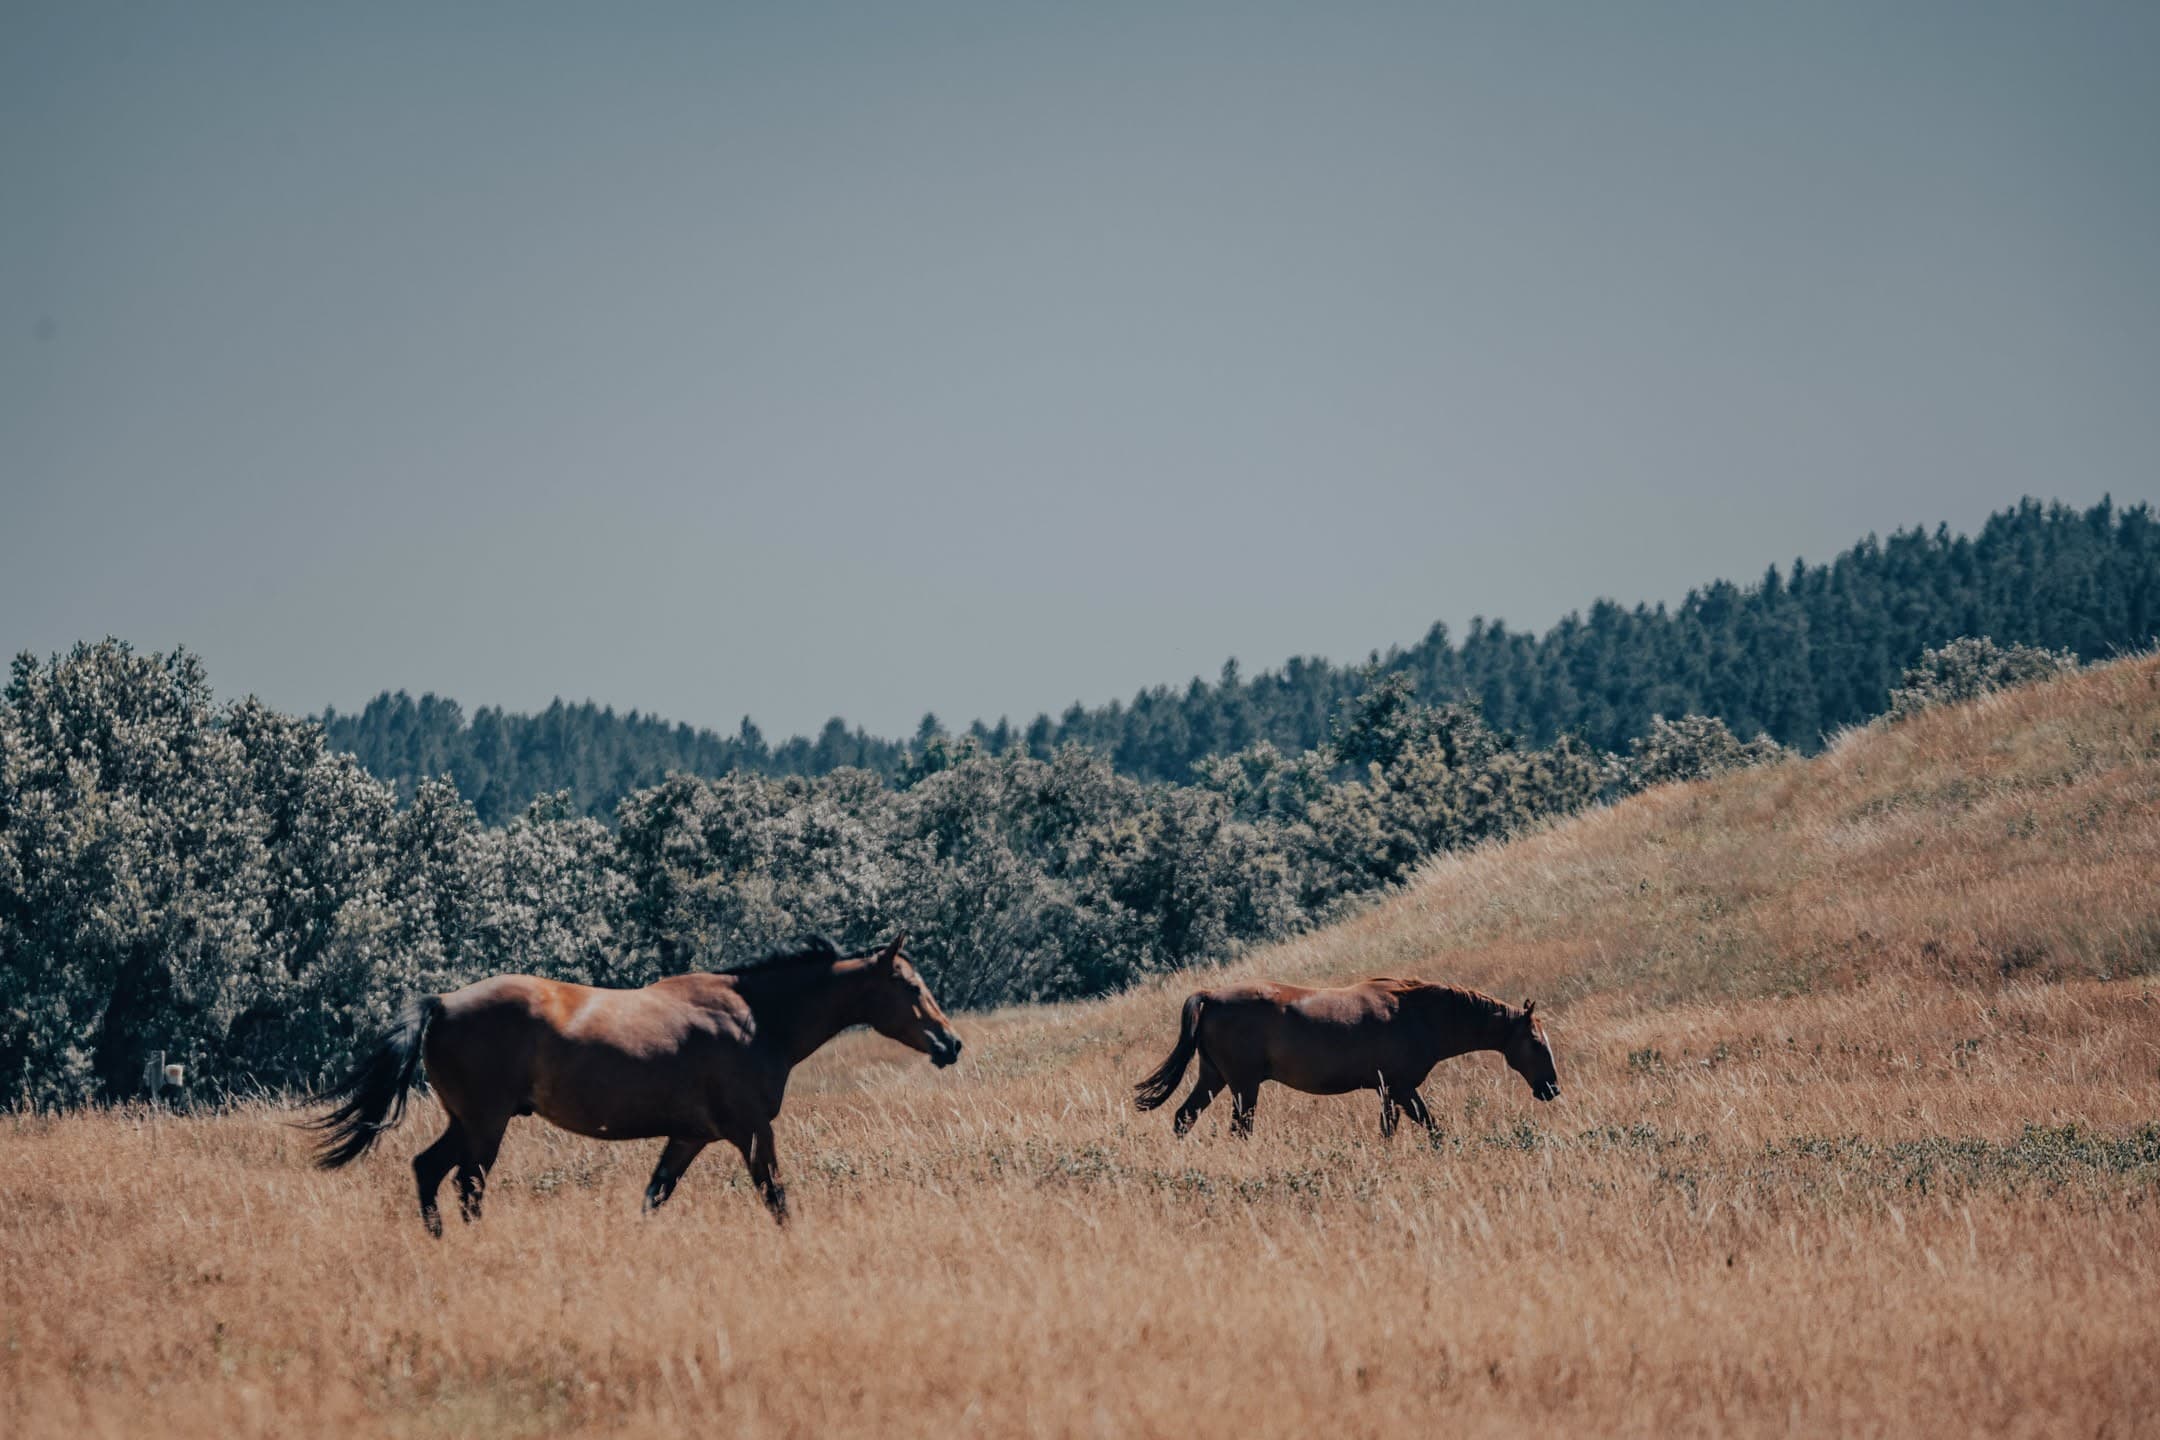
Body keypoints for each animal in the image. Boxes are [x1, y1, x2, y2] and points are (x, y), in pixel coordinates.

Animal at [308, 934, 960, 1231]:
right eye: (911, 986)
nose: (950, 1043)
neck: (756, 1017)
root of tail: (441, 1003)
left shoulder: (691, 1137)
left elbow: (655, 1196)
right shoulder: (752, 1131)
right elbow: (775, 1197)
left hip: (466, 1122)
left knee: (427, 1170)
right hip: (484, 1125)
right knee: (466, 1185)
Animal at [1132, 977, 1558, 1139]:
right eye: (1537, 1043)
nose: (1552, 1088)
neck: (1419, 1015)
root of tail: (1210, 995)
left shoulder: (1389, 1091)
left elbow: (1394, 1129)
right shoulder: (1402, 1088)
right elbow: (1430, 1127)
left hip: (1214, 1078)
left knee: (1184, 1117)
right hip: (1243, 1086)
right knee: (1239, 1129)